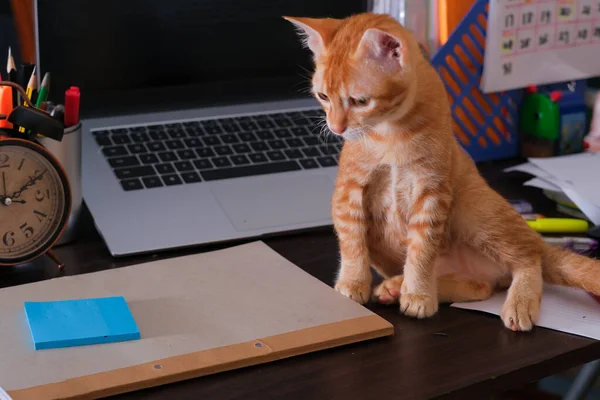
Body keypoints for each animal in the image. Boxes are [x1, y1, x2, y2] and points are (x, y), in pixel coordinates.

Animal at [284, 12, 600, 332]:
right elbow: (351, 241)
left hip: (474, 208)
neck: (390, 132)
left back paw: (516, 301)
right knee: (481, 287)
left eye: (361, 101)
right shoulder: (349, 190)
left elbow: (422, 252)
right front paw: (353, 282)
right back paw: (397, 287)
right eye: (323, 96)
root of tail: (536, 236)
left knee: (528, 259)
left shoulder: (432, 192)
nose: (336, 128)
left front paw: (418, 295)